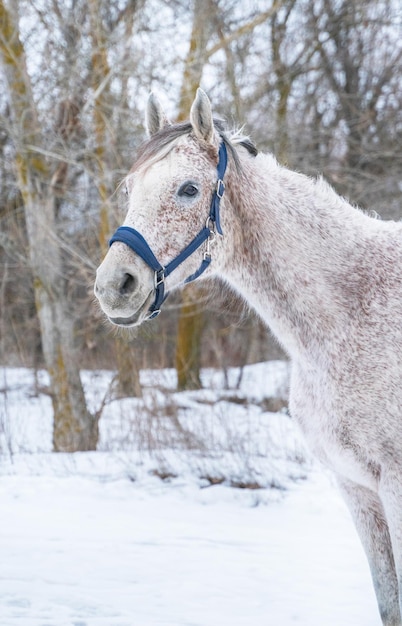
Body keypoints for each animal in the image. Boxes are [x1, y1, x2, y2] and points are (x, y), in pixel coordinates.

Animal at [96, 89, 402, 624]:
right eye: (130, 188)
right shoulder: (358, 489)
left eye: (189, 190)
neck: (351, 315)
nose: (114, 286)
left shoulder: (395, 488)